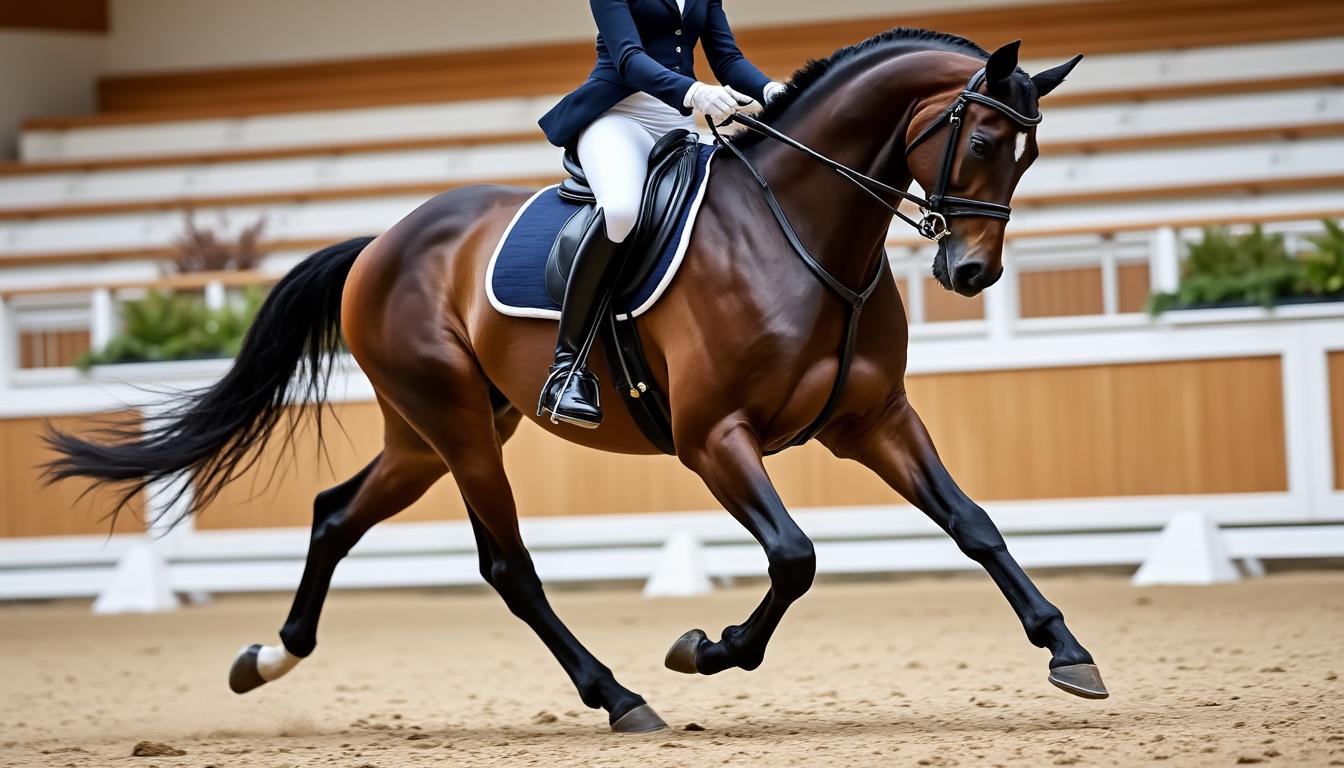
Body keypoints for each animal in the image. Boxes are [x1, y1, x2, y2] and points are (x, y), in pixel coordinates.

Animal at [46, 28, 1103, 733]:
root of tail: (381, 243)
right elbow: (795, 557)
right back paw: (620, 697)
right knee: (507, 566)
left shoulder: (874, 418)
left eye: (1031, 152)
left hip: (430, 431)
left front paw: (1069, 651)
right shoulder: (712, 438)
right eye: (981, 142)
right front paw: (706, 651)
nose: (972, 274)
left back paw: (268, 658)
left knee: (336, 514)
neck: (803, 229)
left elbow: (973, 523)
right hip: (457, 426)